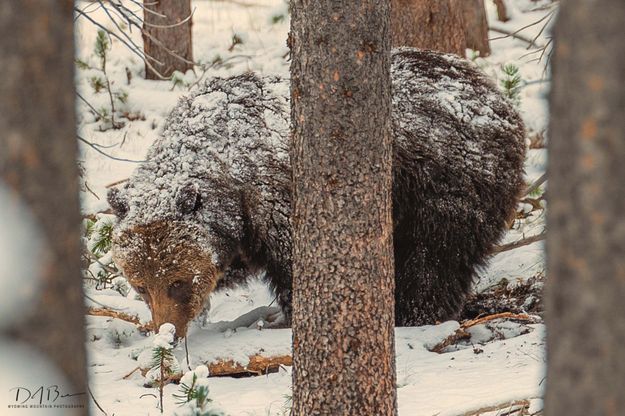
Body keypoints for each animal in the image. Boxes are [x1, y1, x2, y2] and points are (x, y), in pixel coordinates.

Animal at [108, 48, 528, 338]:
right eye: (141, 285)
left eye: (178, 281)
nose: (167, 333)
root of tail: (501, 101)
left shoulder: (278, 203)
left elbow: (296, 267)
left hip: (443, 187)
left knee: (433, 261)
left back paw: (415, 315)